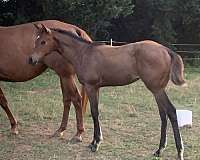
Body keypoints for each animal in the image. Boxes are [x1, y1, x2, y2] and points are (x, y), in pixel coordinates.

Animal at [28, 24, 185, 159]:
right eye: (36, 40)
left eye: (43, 42)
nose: (31, 59)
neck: (83, 53)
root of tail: (166, 50)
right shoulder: (96, 88)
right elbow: (95, 113)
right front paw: (94, 141)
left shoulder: (91, 87)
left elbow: (94, 112)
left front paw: (96, 144)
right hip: (157, 90)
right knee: (163, 115)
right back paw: (159, 150)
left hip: (156, 89)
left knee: (171, 111)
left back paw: (178, 151)